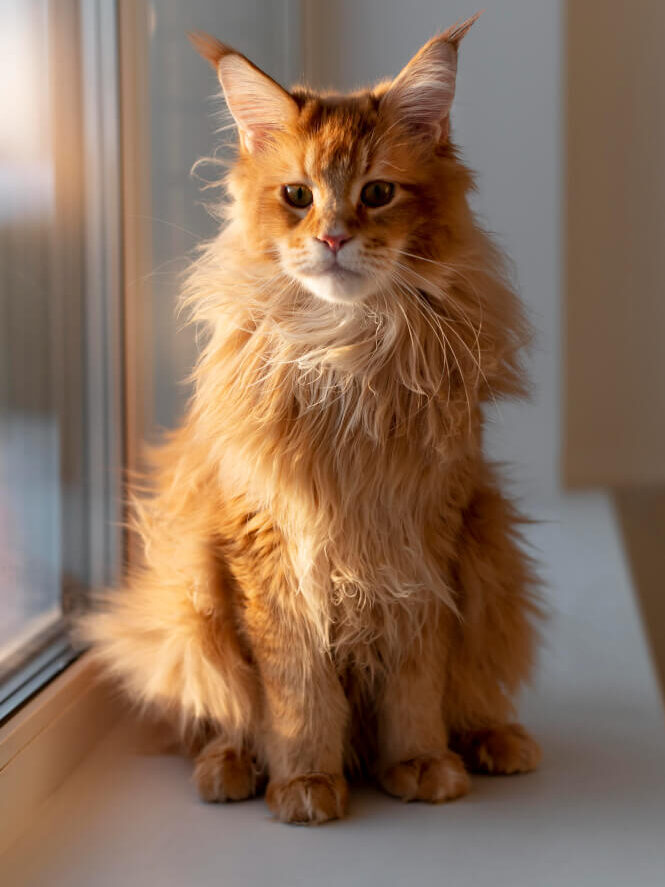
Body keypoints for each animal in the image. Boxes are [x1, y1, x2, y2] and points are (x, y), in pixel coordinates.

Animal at [81, 13, 544, 824]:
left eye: (378, 192)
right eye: (297, 196)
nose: (332, 237)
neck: (345, 355)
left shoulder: (423, 540)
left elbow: (417, 681)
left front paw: (419, 762)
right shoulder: (267, 546)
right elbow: (297, 692)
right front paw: (304, 780)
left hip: (492, 555)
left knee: (473, 692)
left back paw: (494, 741)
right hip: (189, 589)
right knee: (217, 711)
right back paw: (230, 764)